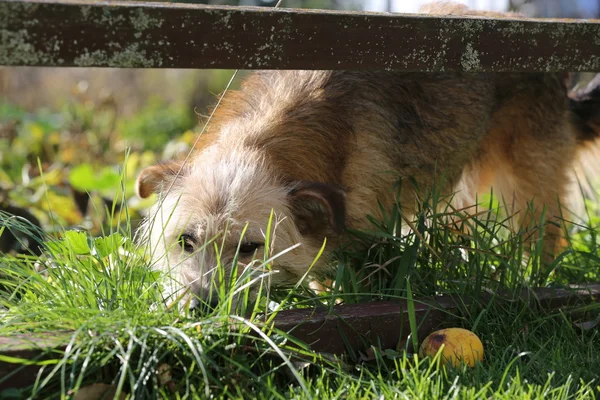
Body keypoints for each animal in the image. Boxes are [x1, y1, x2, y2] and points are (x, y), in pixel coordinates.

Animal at [136, 3, 600, 308]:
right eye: (186, 241)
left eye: (250, 247)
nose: (198, 307)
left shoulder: (368, 234)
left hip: (528, 181)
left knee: (547, 234)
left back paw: (539, 281)